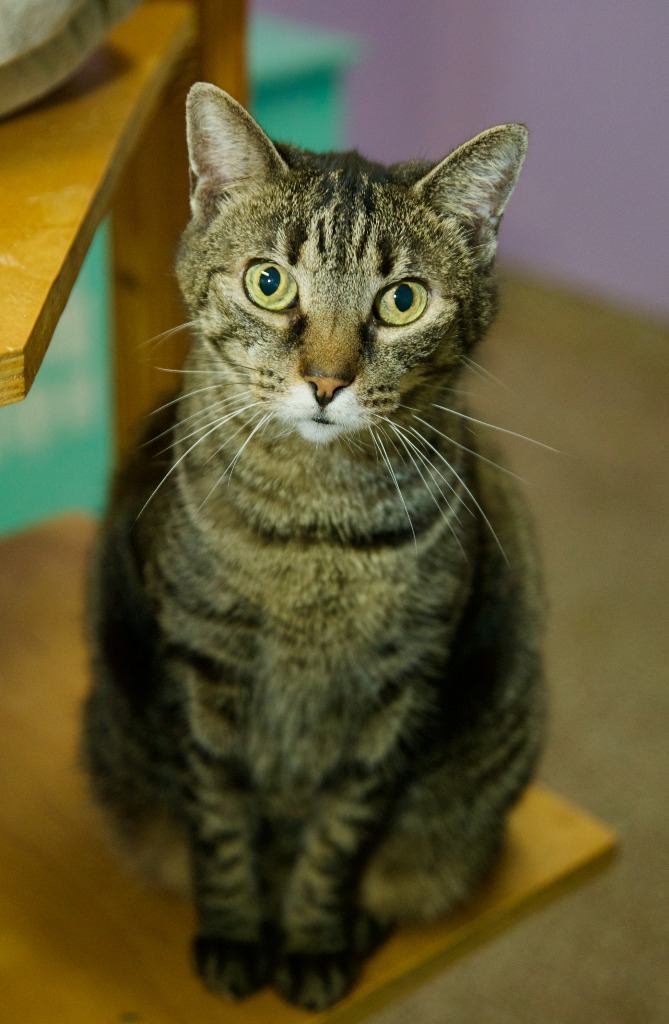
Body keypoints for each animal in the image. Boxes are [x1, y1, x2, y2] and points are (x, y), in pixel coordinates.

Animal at [83, 83, 540, 1011]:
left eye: (402, 301)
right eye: (269, 283)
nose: (326, 382)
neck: (311, 528)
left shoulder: (399, 687)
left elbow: (337, 837)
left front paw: (313, 940)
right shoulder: (202, 668)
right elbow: (220, 824)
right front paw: (234, 933)